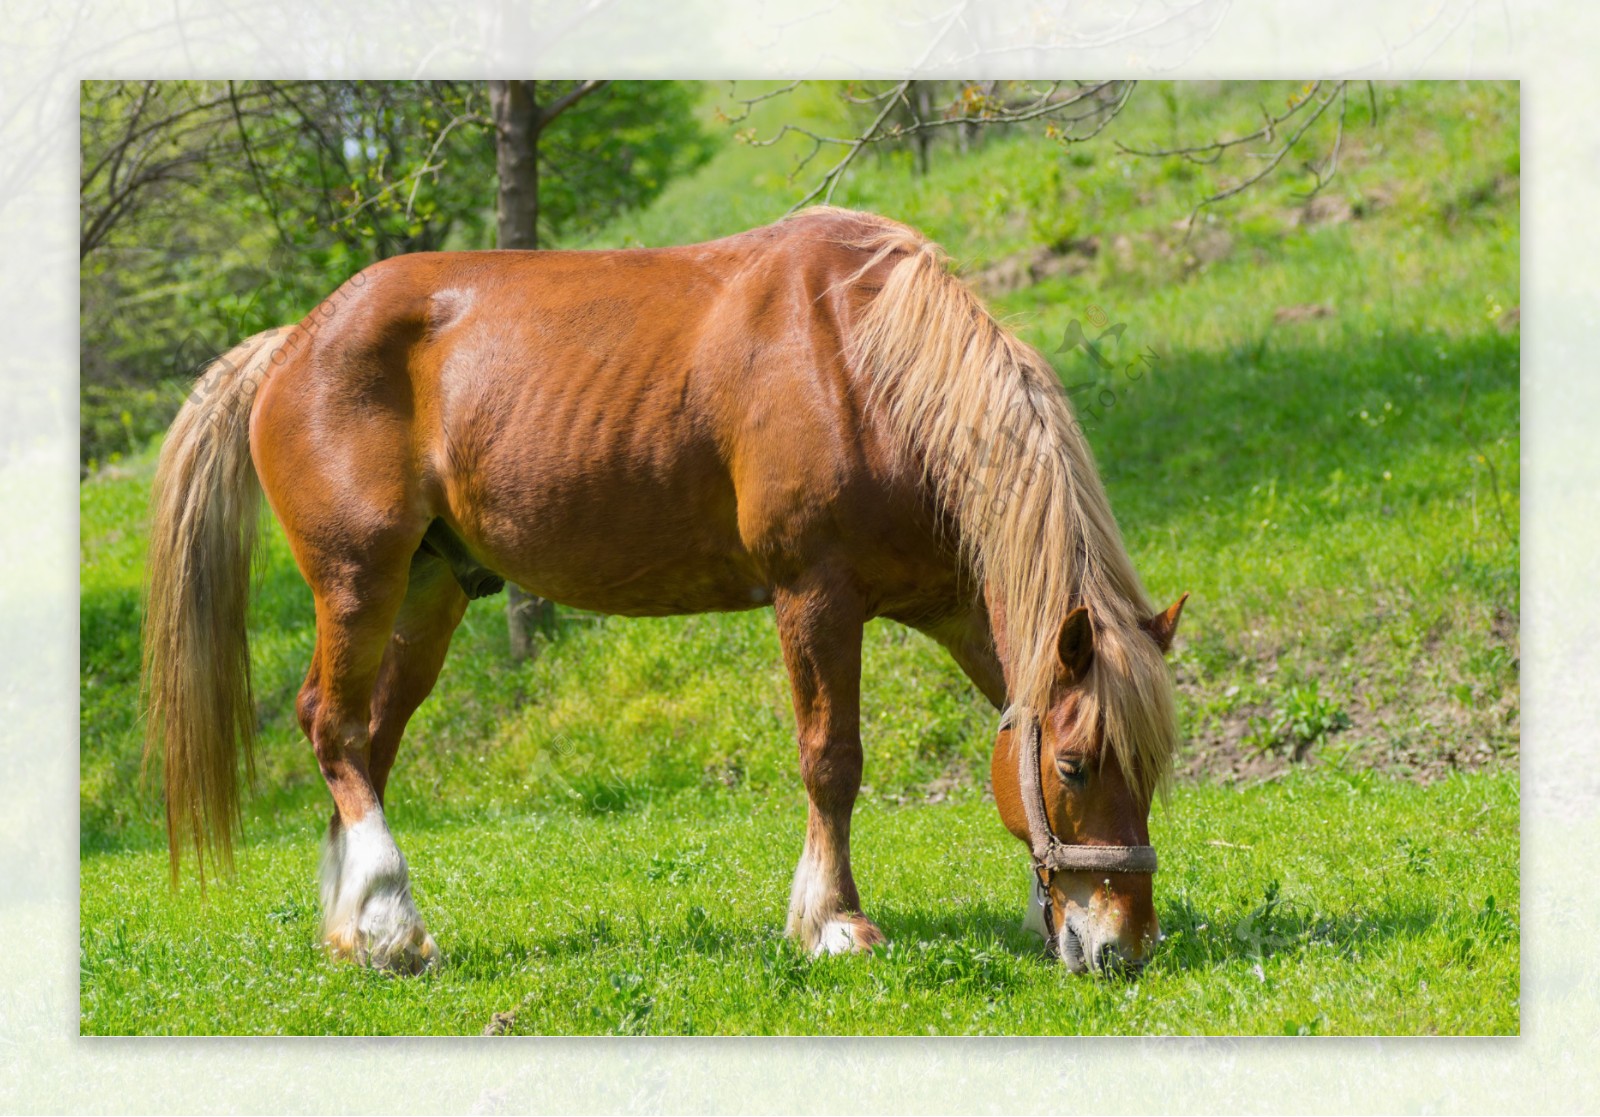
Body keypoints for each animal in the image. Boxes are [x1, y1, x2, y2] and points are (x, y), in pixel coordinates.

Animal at [140, 208, 1190, 972]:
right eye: (1075, 768)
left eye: (1152, 766)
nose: (1124, 947)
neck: (864, 366)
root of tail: (292, 340)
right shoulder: (815, 595)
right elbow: (832, 760)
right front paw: (834, 921)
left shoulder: (958, 605)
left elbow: (1004, 713)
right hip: (359, 578)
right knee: (331, 725)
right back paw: (392, 920)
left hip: (428, 591)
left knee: (366, 736)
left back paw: (358, 929)